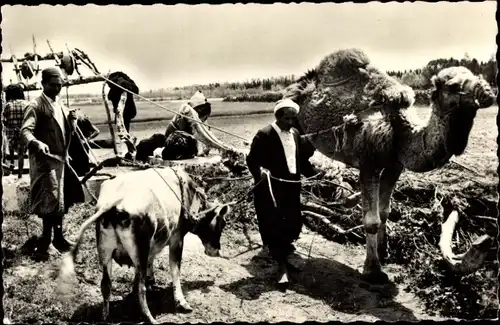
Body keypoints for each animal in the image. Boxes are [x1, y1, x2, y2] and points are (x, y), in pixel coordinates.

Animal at [57, 166, 230, 322]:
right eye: (222, 223)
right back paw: (149, 317)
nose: (217, 251)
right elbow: (175, 270)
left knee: (106, 285)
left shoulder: (153, 245)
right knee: (141, 287)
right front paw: (181, 302)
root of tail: (114, 202)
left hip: (105, 251)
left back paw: (106, 317)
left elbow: (150, 262)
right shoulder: (177, 238)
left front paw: (151, 281)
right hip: (139, 249)